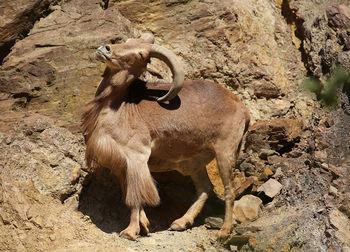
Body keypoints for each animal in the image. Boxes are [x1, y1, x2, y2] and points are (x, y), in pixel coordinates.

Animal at [82, 33, 250, 240]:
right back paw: (181, 222)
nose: (106, 49)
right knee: (205, 188)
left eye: (141, 55)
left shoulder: (137, 157)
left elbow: (135, 197)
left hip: (225, 153)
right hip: (194, 163)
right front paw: (144, 225)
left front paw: (130, 231)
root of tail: (242, 108)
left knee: (229, 190)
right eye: (127, 42)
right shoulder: (122, 163)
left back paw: (224, 231)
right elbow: (132, 193)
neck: (118, 106)